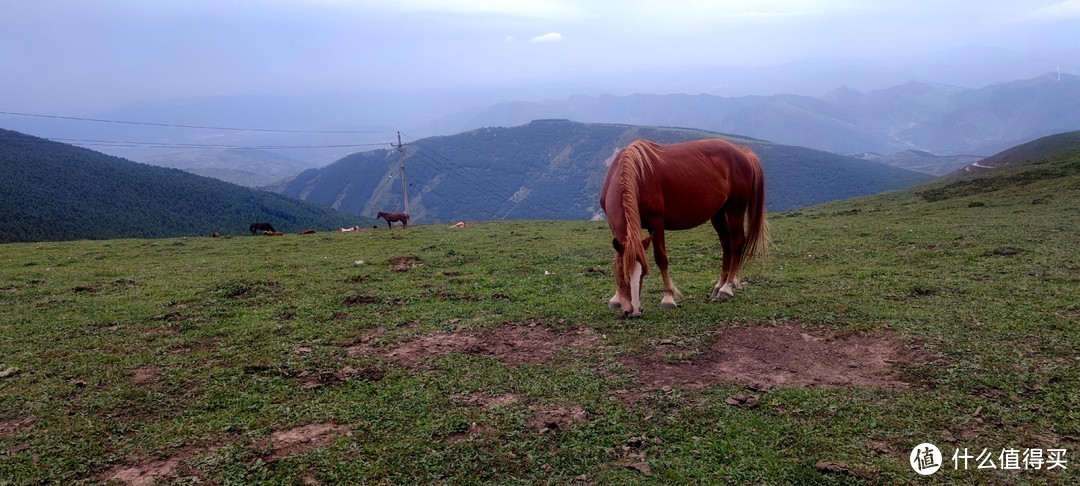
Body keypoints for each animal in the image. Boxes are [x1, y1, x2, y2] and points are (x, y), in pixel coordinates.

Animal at [600, 137, 768, 319]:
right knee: (727, 244)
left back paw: (727, 288)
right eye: (621, 274)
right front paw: (616, 298)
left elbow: (661, 258)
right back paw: (719, 284)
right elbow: (617, 257)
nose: (635, 311)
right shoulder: (614, 227)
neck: (638, 176)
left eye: (643, 273)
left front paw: (668, 298)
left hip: (735, 208)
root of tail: (742, 152)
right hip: (718, 213)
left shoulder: (656, 223)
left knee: (737, 243)